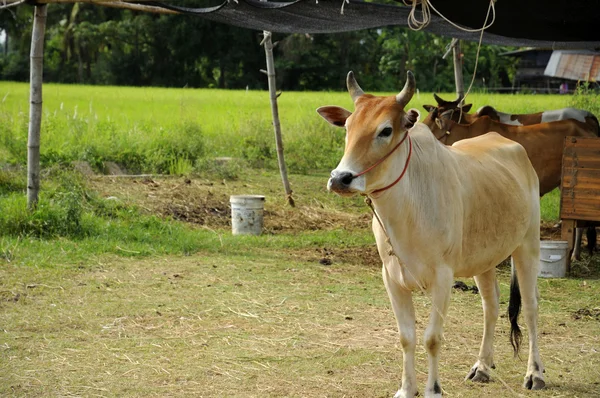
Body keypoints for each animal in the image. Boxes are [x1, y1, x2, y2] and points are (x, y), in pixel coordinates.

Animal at [316, 71, 548, 398]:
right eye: (347, 128)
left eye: (385, 130)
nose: (340, 178)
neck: (406, 210)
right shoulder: (392, 278)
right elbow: (406, 337)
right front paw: (406, 388)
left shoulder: (442, 277)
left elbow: (432, 338)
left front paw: (433, 389)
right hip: (484, 259)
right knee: (490, 306)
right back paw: (482, 367)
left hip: (528, 245)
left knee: (530, 307)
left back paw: (535, 373)